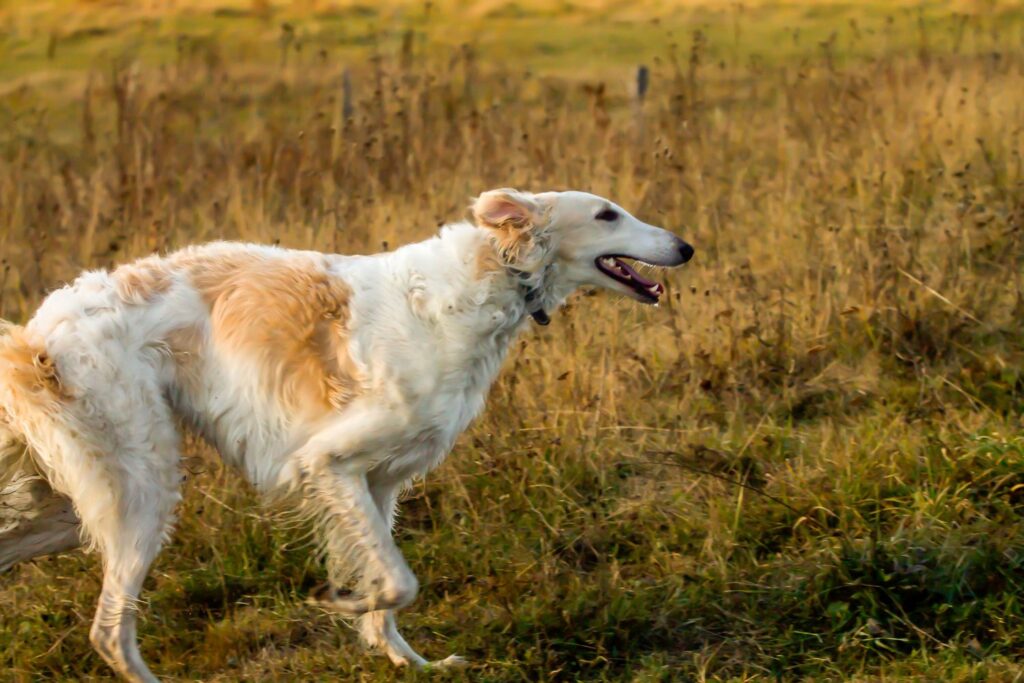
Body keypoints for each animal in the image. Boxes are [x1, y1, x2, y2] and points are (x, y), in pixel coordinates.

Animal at [0, 189, 696, 679]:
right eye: (607, 213)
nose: (686, 247)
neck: (485, 276)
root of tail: (38, 331)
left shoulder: (380, 481)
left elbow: (390, 588)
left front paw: (410, 662)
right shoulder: (328, 462)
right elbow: (398, 583)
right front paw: (341, 603)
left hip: (74, 504)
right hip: (140, 489)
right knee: (109, 632)